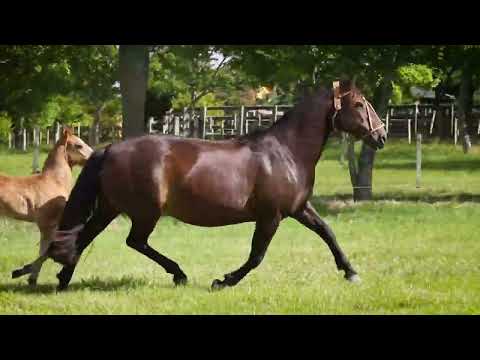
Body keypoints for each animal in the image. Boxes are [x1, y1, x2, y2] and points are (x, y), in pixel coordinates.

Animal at [2, 128, 93, 286]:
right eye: (78, 145)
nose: (93, 156)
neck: (54, 181)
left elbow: (46, 250)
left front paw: (29, 277)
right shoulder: (47, 225)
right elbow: (45, 250)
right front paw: (25, 274)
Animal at [47, 80, 386, 292]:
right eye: (359, 104)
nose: (381, 136)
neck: (287, 152)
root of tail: (110, 149)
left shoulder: (299, 208)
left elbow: (327, 232)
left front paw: (351, 272)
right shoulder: (271, 216)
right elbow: (256, 255)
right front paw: (223, 281)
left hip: (110, 207)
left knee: (86, 236)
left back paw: (63, 279)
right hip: (145, 212)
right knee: (134, 241)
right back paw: (179, 274)